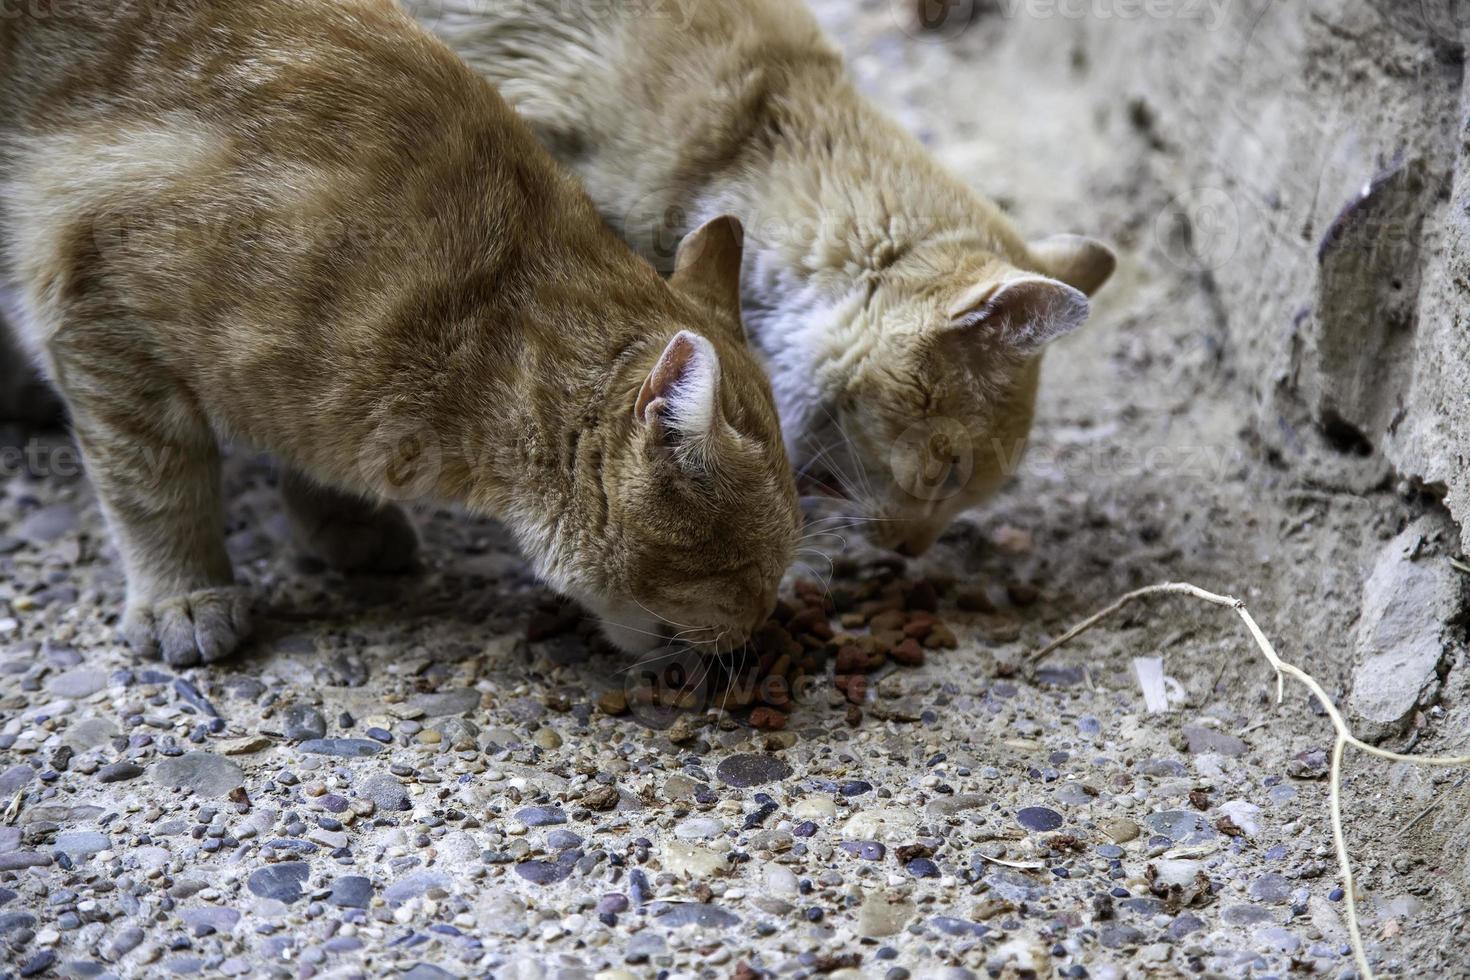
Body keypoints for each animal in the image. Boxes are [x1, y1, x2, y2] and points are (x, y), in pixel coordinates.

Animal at [0, 0, 793, 667]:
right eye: (745, 572)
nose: (759, 627)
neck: (477, 309)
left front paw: (338, 517)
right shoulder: (102, 319)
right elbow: (155, 488)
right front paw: (182, 592)